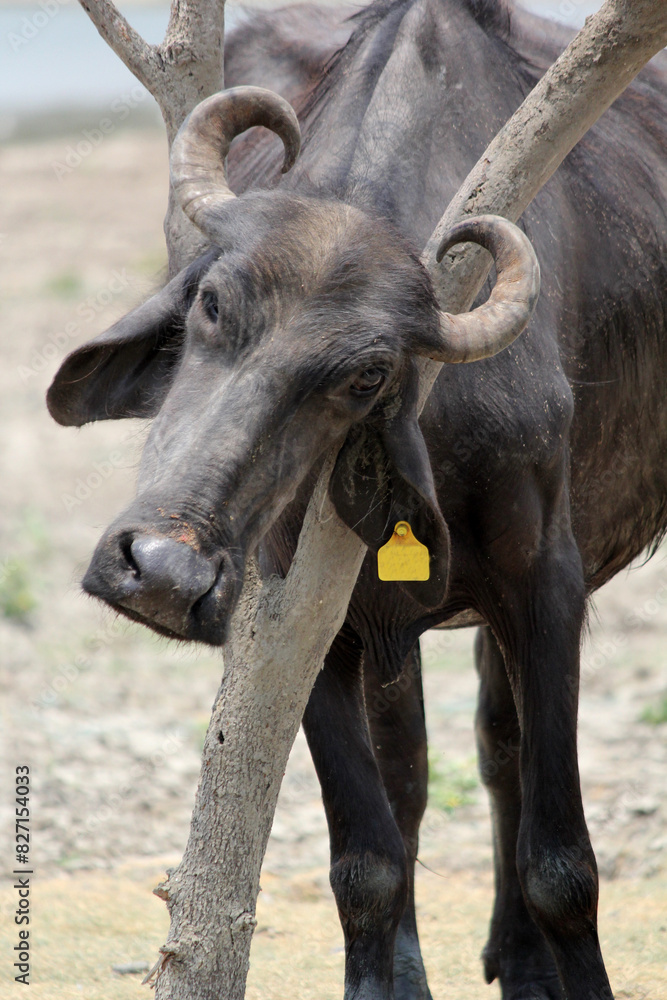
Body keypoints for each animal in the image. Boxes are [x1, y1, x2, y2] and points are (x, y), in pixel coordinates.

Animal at [46, 1, 667, 998]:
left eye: (365, 376)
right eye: (211, 302)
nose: (163, 575)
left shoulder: (545, 585)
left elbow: (561, 862)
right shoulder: (299, 615)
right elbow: (367, 860)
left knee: (498, 748)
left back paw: (519, 958)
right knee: (414, 776)